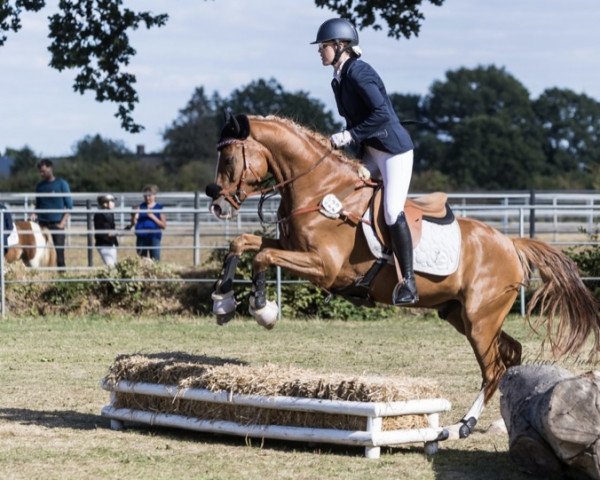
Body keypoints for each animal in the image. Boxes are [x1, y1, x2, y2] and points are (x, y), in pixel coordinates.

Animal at [206, 113, 600, 438]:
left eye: (229, 158)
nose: (218, 205)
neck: (320, 189)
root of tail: (510, 242)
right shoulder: (291, 247)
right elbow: (243, 244)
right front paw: (223, 302)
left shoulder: (324, 267)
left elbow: (262, 257)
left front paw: (263, 310)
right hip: (461, 315)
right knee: (511, 354)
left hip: (480, 318)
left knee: (493, 368)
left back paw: (463, 425)